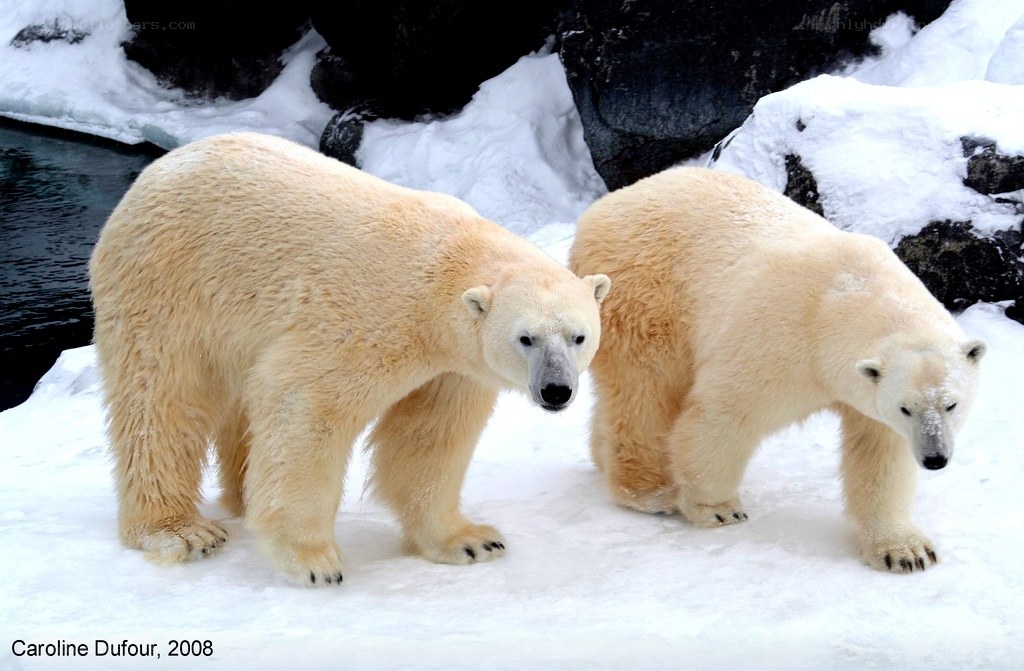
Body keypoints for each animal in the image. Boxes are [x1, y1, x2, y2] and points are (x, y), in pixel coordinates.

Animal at [89, 131, 611, 586]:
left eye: (578, 336)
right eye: (526, 338)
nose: (556, 391)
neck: (442, 272)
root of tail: (153, 171)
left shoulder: (453, 366)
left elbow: (431, 435)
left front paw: (472, 541)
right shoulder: (366, 320)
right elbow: (307, 406)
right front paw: (312, 562)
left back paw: (240, 497)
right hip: (168, 283)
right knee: (161, 398)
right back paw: (180, 531)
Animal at [568, 166, 985, 573]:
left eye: (951, 405)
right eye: (906, 407)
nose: (935, 458)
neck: (839, 302)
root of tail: (597, 210)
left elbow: (881, 453)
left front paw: (906, 551)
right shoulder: (782, 339)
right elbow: (724, 414)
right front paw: (717, 509)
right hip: (646, 296)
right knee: (646, 391)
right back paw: (652, 492)